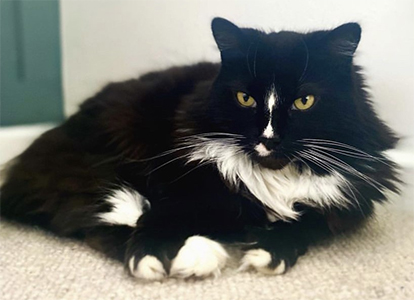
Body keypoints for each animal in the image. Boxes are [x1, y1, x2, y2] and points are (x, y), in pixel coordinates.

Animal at [0, 17, 402, 280]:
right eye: (245, 98)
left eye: (304, 101)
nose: (268, 139)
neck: (274, 180)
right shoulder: (178, 183)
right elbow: (156, 220)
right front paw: (152, 256)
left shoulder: (340, 206)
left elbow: (302, 226)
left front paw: (267, 253)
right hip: (95, 172)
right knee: (95, 221)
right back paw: (197, 255)